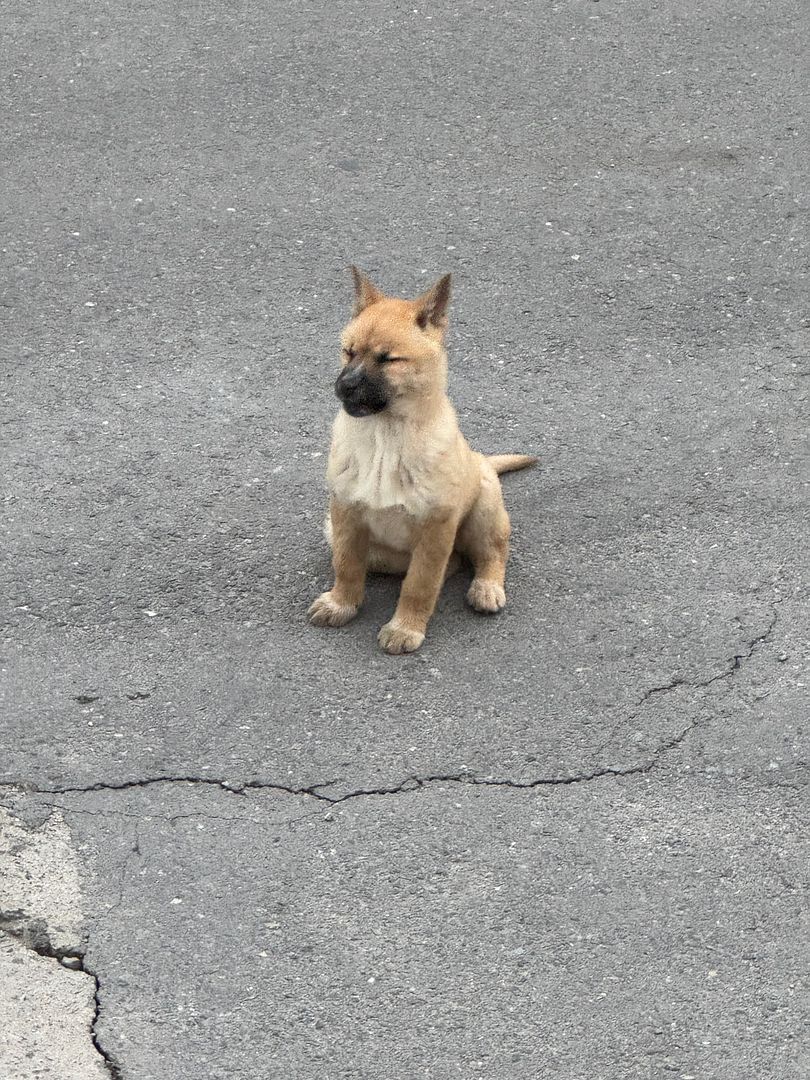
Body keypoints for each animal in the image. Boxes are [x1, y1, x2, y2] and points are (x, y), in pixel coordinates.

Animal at [311, 267, 540, 656]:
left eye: (388, 359)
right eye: (348, 352)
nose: (344, 386)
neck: (386, 437)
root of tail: (482, 460)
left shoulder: (437, 526)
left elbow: (420, 582)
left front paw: (405, 627)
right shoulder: (345, 513)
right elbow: (346, 564)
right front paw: (341, 603)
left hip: (485, 508)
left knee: (491, 552)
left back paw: (487, 587)